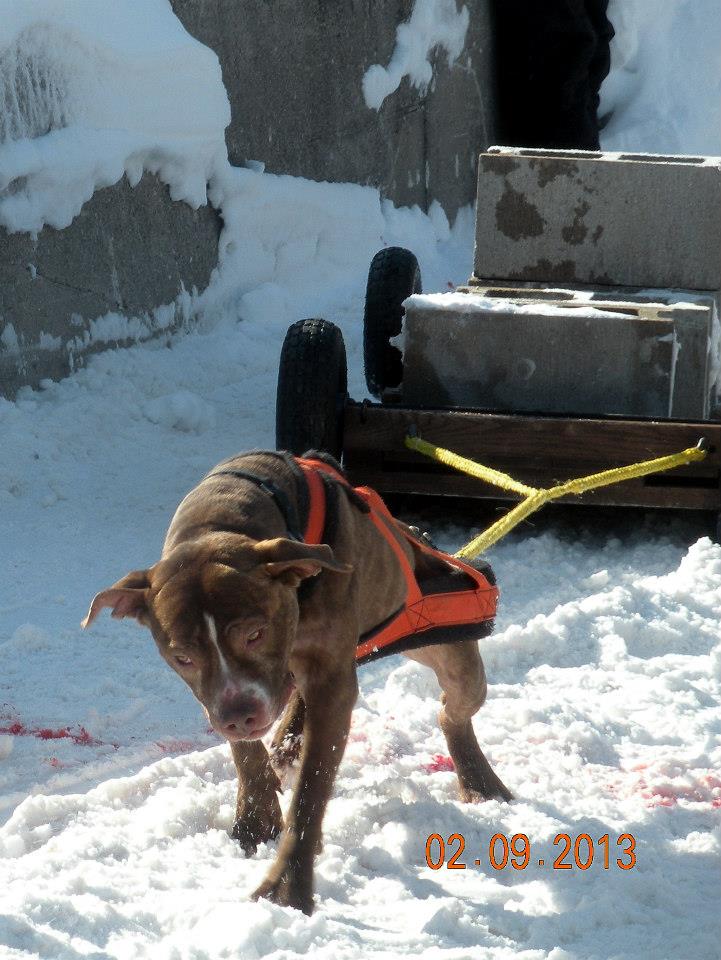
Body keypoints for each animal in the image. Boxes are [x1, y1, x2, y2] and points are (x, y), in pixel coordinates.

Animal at [83, 452, 512, 916]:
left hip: (452, 658)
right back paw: (287, 740)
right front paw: (256, 812)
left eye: (254, 634)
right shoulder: (216, 696)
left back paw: (477, 779)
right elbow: (245, 751)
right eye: (183, 657)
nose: (241, 716)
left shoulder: (329, 684)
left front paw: (289, 881)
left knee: (453, 711)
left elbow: (312, 786)